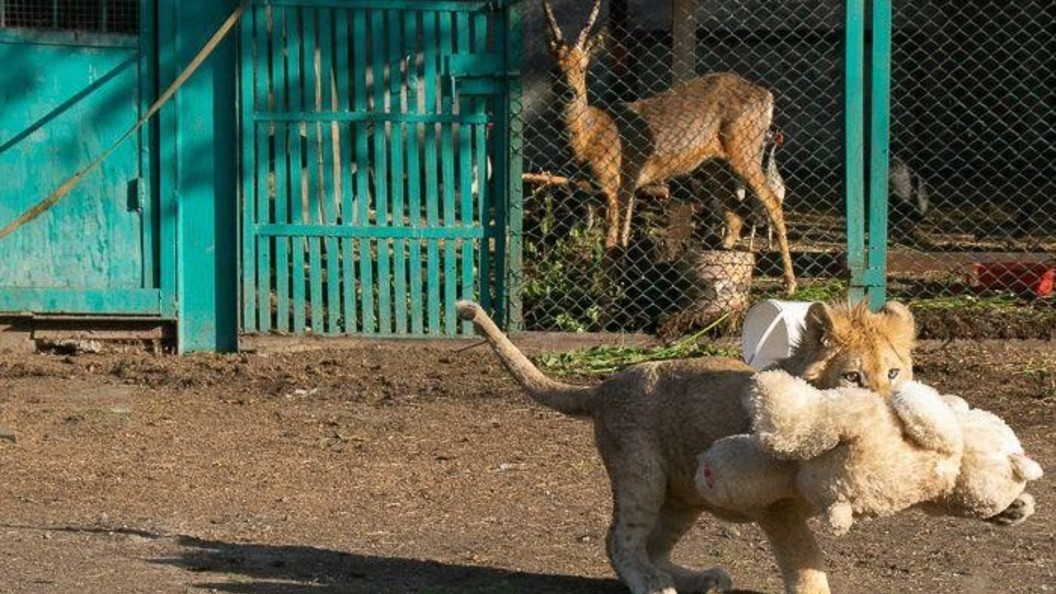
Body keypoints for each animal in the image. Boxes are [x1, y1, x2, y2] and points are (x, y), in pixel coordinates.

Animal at [544, 0, 794, 291]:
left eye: (583, 68)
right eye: (555, 69)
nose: (569, 93)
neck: (588, 141)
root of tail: (768, 96)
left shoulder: (619, 181)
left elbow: (613, 242)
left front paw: (606, 293)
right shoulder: (603, 190)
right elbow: (617, 239)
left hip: (745, 146)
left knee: (771, 202)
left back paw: (789, 283)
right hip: (714, 163)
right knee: (735, 213)